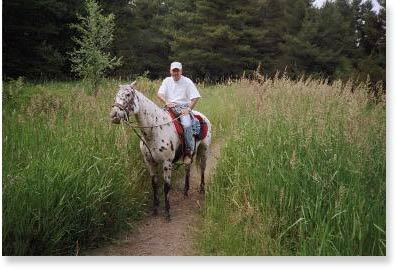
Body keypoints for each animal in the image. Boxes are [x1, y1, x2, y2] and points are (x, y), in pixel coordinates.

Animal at [110, 81, 212, 220]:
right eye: (116, 95)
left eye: (128, 94)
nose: (114, 115)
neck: (154, 130)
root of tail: (202, 117)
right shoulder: (150, 162)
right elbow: (154, 185)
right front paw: (155, 208)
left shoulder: (167, 163)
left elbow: (166, 186)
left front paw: (167, 212)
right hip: (190, 154)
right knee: (188, 168)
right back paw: (185, 191)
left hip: (204, 150)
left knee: (202, 168)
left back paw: (202, 189)